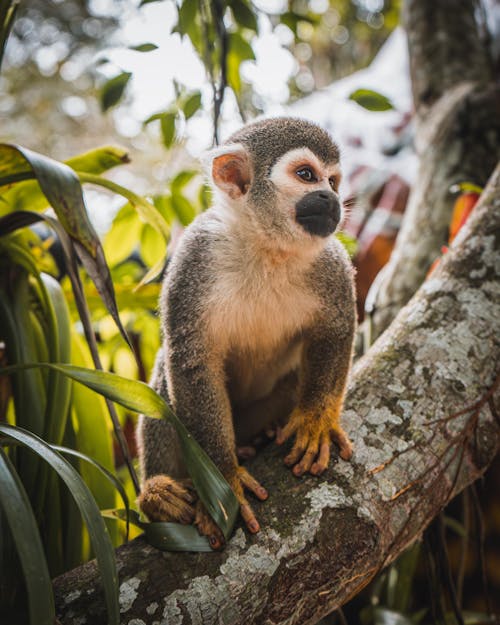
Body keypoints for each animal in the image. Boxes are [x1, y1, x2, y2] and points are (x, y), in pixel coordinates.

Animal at [137, 116, 356, 544]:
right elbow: (191, 361)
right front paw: (223, 479)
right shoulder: (195, 256)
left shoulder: (331, 261)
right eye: (307, 175)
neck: (267, 248)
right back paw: (158, 491)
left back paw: (262, 436)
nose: (331, 198)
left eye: (333, 181)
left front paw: (315, 420)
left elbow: (336, 327)